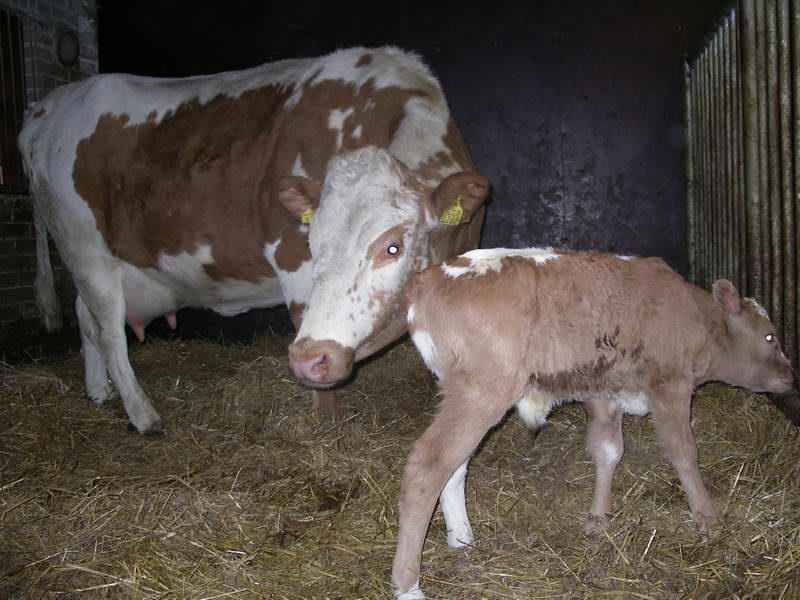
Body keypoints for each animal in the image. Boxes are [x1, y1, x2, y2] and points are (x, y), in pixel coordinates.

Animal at [18, 47, 488, 432]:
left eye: (393, 247)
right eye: (313, 245)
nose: (308, 360)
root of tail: (50, 105)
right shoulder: (291, 261)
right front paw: (327, 424)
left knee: (86, 317)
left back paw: (100, 392)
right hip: (85, 251)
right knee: (111, 333)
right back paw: (143, 414)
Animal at [390, 246, 792, 596]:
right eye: (770, 336)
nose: (790, 377)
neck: (693, 316)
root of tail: (426, 279)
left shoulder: (603, 390)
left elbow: (607, 450)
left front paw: (598, 522)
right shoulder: (670, 385)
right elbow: (683, 453)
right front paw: (708, 520)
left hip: (463, 394)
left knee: (454, 465)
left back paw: (461, 538)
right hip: (482, 392)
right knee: (427, 465)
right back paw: (409, 587)